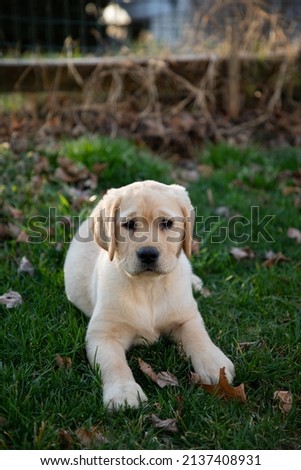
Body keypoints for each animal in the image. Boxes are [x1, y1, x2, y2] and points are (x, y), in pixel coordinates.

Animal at [64, 180, 234, 408]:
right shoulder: (103, 334)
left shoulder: (186, 318)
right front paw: (124, 392)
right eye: (129, 224)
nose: (148, 254)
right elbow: (114, 364)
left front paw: (214, 364)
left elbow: (198, 337)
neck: (149, 286)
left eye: (166, 223)